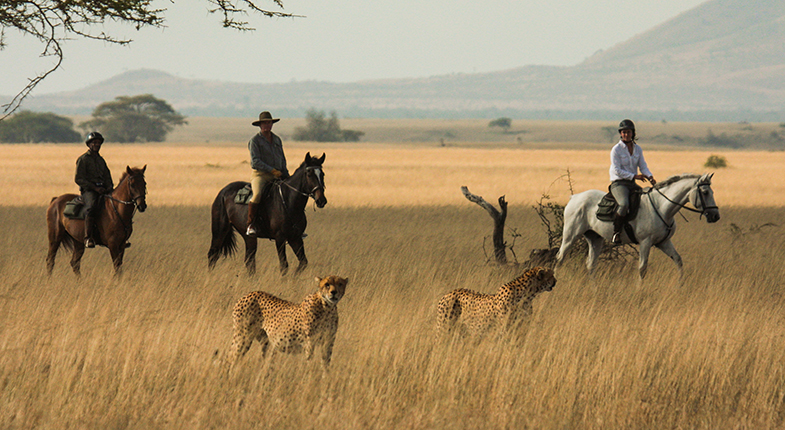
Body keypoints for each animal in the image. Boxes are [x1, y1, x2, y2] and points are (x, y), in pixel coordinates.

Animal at [556, 173, 720, 280]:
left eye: (712, 191)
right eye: (705, 192)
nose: (715, 216)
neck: (661, 207)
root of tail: (574, 197)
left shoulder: (664, 242)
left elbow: (678, 261)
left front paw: (680, 285)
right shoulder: (645, 242)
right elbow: (642, 268)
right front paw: (639, 290)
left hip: (594, 238)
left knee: (591, 264)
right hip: (570, 236)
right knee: (559, 259)